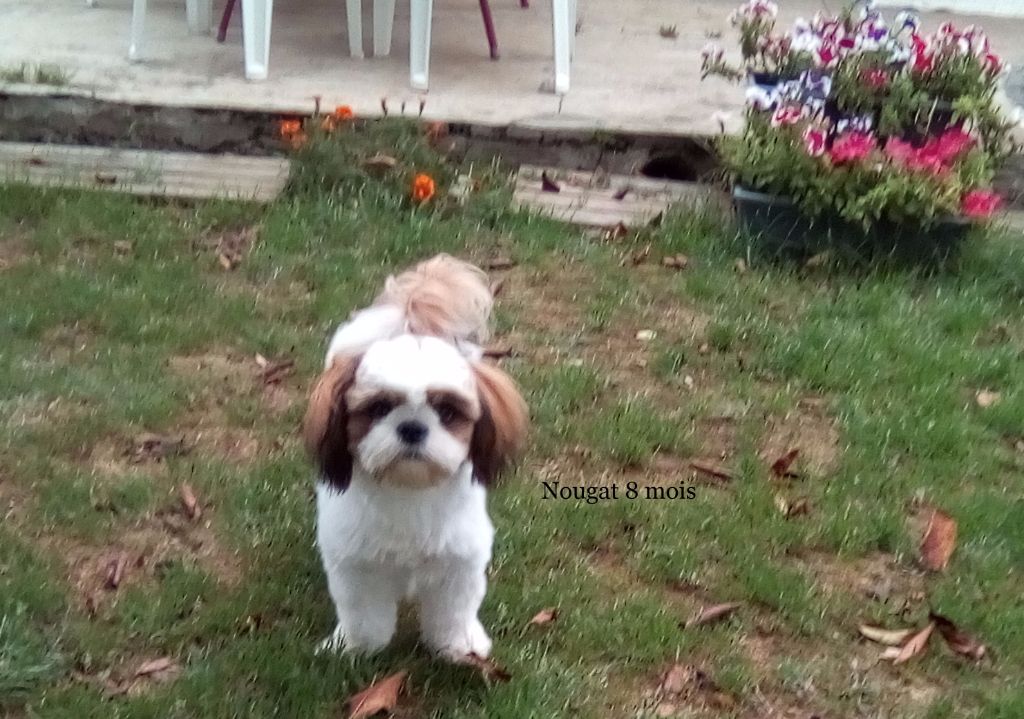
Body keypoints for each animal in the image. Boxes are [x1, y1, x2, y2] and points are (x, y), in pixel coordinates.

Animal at [301, 256, 528, 663]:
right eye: (378, 408)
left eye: (447, 411)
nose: (412, 428)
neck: (409, 491)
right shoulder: (357, 565)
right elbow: (364, 615)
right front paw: (357, 648)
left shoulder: (459, 563)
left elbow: (453, 612)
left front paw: (458, 646)